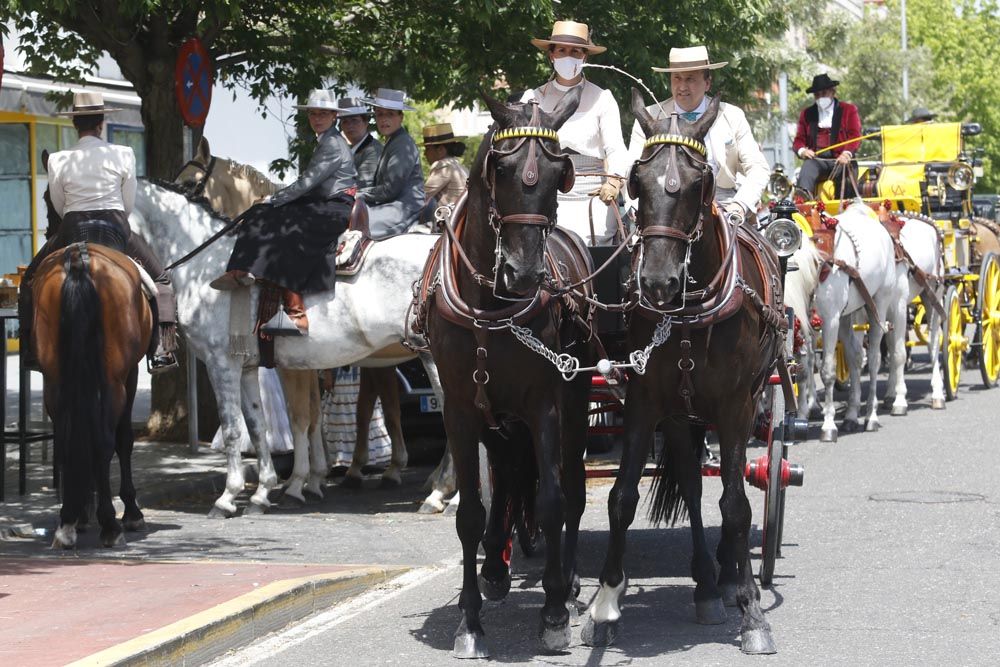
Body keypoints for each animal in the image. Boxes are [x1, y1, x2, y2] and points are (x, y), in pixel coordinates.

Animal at [32, 243, 152, 552]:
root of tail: (78, 258)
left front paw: (82, 511)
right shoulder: (130, 375)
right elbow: (124, 440)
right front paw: (131, 513)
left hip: (55, 381)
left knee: (66, 440)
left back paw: (67, 522)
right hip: (114, 381)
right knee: (104, 442)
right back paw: (111, 525)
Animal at [130, 181, 450, 516]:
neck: (207, 268)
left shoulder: (223, 364)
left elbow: (238, 427)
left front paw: (229, 496)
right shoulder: (250, 366)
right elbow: (260, 425)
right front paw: (264, 492)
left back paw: (441, 494)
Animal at [418, 88, 596, 656]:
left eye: (560, 171)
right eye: (501, 167)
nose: (523, 273)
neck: (489, 305)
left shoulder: (544, 403)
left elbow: (552, 500)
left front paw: (555, 610)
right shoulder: (458, 409)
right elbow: (470, 512)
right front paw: (469, 622)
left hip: (574, 401)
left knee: (571, 486)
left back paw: (569, 580)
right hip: (494, 415)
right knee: (509, 470)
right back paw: (497, 566)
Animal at [584, 91, 788, 656]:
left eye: (700, 181)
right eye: (638, 178)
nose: (657, 282)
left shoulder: (736, 407)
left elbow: (737, 505)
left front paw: (752, 612)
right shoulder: (646, 401)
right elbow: (622, 497)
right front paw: (604, 601)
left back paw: (729, 577)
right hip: (680, 416)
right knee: (694, 487)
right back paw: (705, 584)